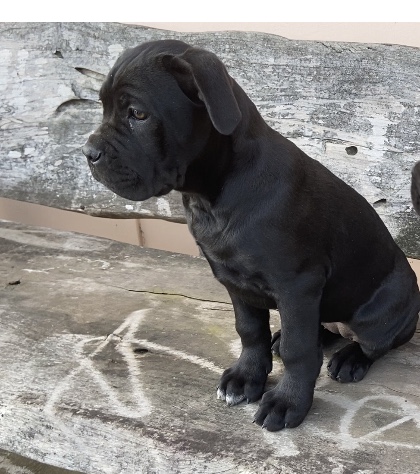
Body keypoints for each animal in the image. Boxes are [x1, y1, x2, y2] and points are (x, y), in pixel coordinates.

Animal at [83, 40, 420, 432]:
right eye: (103, 107)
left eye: (137, 114)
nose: (88, 153)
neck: (212, 195)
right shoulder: (233, 279)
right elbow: (249, 331)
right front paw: (247, 377)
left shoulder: (297, 285)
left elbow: (298, 350)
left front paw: (288, 401)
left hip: (380, 312)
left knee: (375, 344)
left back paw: (351, 358)